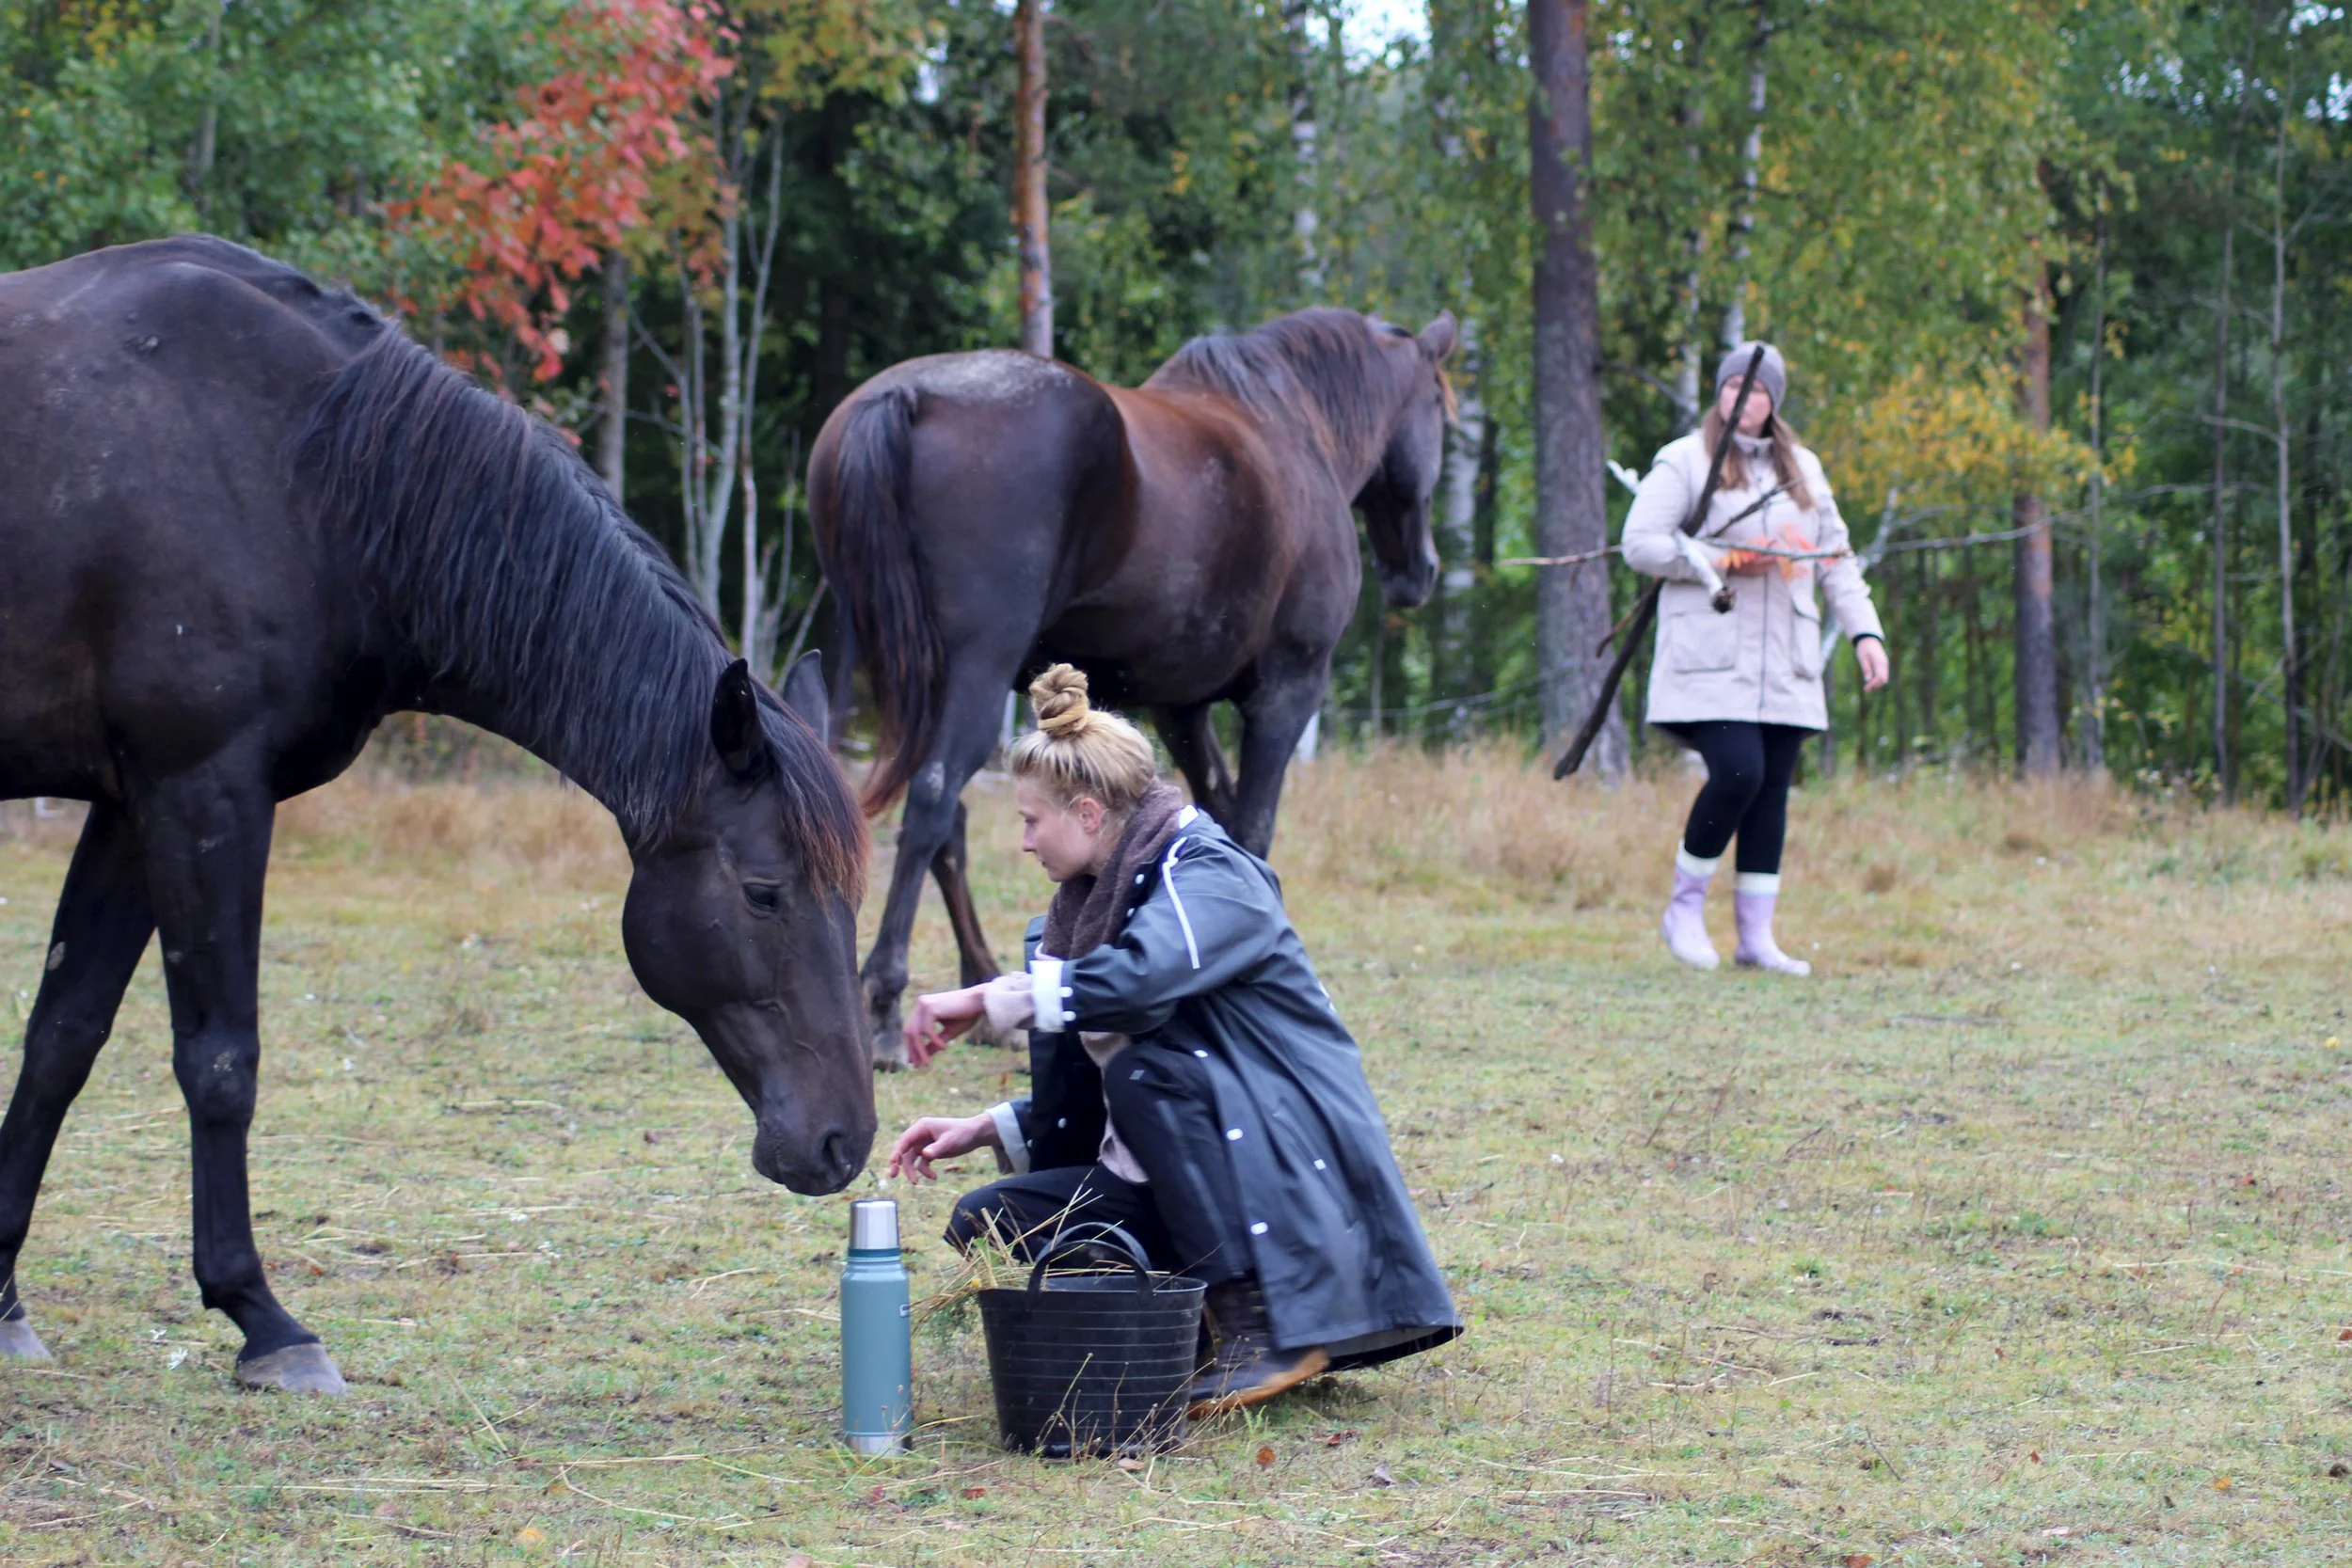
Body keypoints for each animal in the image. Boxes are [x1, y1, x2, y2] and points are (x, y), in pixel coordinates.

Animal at [0, 237, 873, 1394]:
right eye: (766, 892)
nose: (842, 1142)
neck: (307, 479)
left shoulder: (129, 806)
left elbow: (62, 1037)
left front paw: (1, 1299)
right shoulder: (200, 790)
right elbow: (221, 1059)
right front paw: (264, 1317)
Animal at [811, 307, 1456, 1064]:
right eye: (1440, 408)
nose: (1421, 572)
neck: (1292, 427)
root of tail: (907, 396)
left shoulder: (1181, 707)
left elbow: (1215, 811)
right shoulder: (1288, 689)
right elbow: (1254, 822)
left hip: (876, 656)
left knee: (923, 818)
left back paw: (977, 984)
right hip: (975, 669)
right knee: (934, 804)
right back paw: (884, 1003)